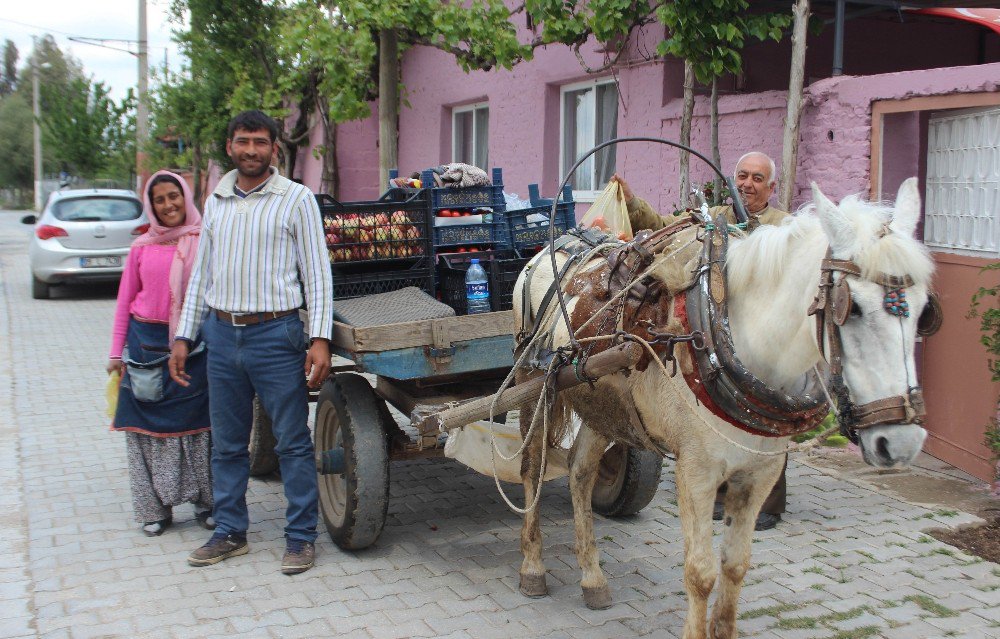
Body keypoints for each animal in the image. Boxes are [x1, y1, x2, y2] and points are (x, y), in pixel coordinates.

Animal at [512, 180, 932, 639]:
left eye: (924, 309)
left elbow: (736, 566)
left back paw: (592, 577)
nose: (902, 442)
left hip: (603, 406)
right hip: (536, 388)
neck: (726, 330)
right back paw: (532, 567)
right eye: (850, 307)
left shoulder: (760, 473)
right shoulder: (697, 471)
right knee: (531, 468)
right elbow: (700, 573)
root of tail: (554, 248)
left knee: (580, 473)